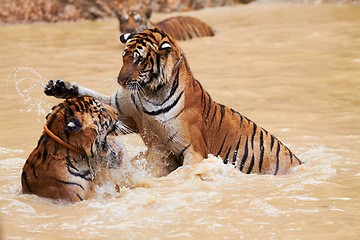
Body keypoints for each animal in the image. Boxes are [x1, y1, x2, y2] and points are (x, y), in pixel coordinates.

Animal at [45, 28, 304, 175]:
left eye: (138, 60)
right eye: (124, 57)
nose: (120, 80)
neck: (150, 93)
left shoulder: (194, 150)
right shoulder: (124, 114)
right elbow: (96, 98)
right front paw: (60, 87)